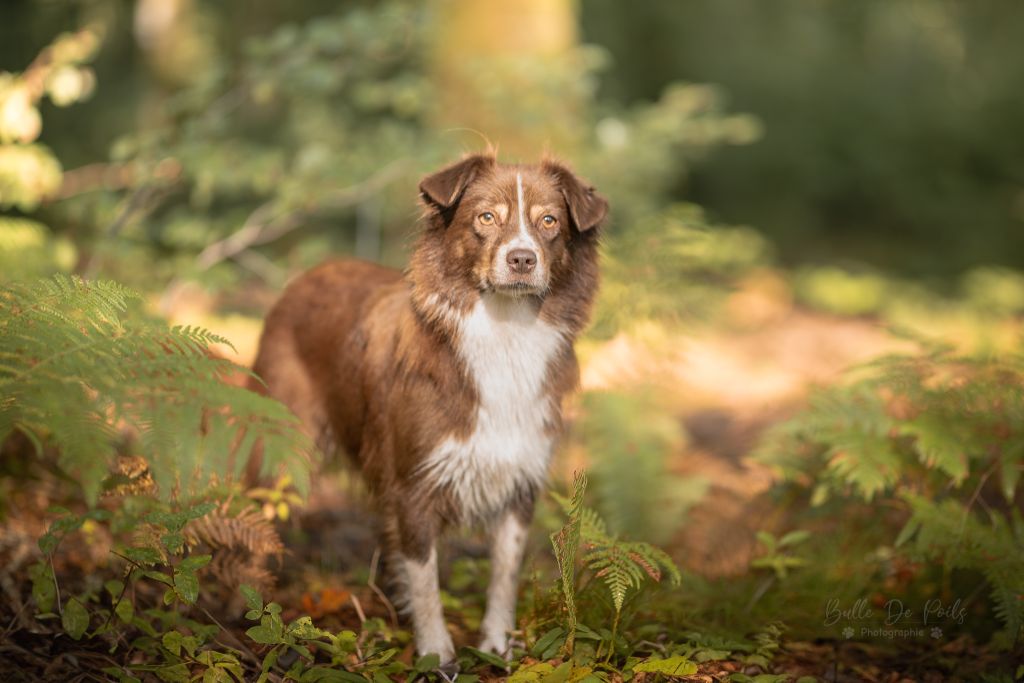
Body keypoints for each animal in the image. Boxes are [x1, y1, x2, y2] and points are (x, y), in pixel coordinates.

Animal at [250, 153, 602, 663]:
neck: (504, 333)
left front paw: (497, 642)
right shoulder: (413, 483)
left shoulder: (519, 482)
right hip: (282, 449)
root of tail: (312, 272)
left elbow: (505, 571)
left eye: (549, 221)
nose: (522, 258)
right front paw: (436, 653)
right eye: (486, 217)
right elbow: (424, 578)